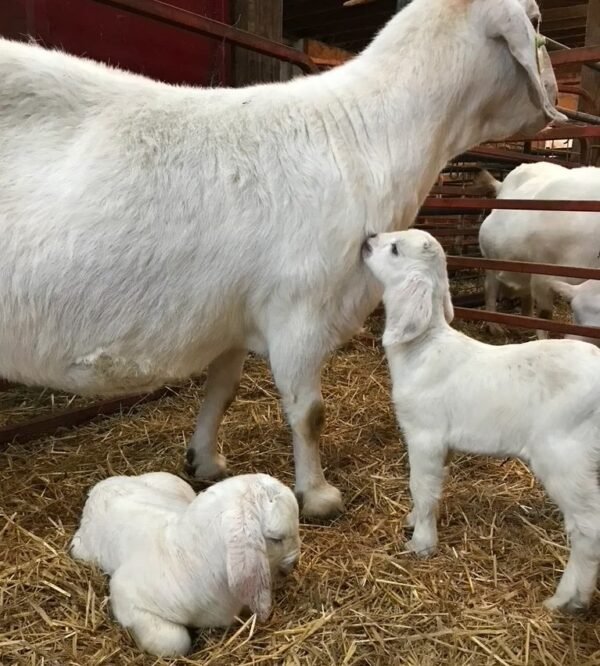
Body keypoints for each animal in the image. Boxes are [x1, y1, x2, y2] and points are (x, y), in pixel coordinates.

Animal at [0, 0, 563, 518]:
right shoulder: (301, 308)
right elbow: (309, 412)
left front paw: (204, 460)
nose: (559, 99)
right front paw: (317, 495)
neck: (367, 134)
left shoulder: (233, 314)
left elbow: (222, 391)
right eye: (536, 20)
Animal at [71, 472, 300, 656]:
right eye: (276, 539)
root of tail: (100, 487)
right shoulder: (125, 594)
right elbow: (174, 643)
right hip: (79, 550)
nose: (294, 564)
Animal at [363, 228, 600, 611]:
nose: (368, 238)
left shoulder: (425, 434)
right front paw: (413, 520)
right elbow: (433, 486)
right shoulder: (443, 443)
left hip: (565, 454)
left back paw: (567, 599)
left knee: (588, 526)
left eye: (395, 249)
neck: (423, 348)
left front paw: (421, 543)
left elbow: (421, 485)